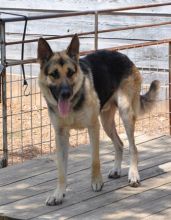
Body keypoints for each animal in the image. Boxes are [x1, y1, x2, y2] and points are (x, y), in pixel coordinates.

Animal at [37, 34, 159, 205]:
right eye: (54, 74)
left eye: (70, 73)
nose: (66, 94)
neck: (74, 102)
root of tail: (124, 56)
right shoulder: (60, 135)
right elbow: (61, 168)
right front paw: (58, 194)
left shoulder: (93, 127)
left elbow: (95, 160)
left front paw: (96, 182)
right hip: (106, 123)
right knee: (120, 144)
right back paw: (116, 170)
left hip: (125, 113)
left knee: (133, 147)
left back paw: (133, 175)